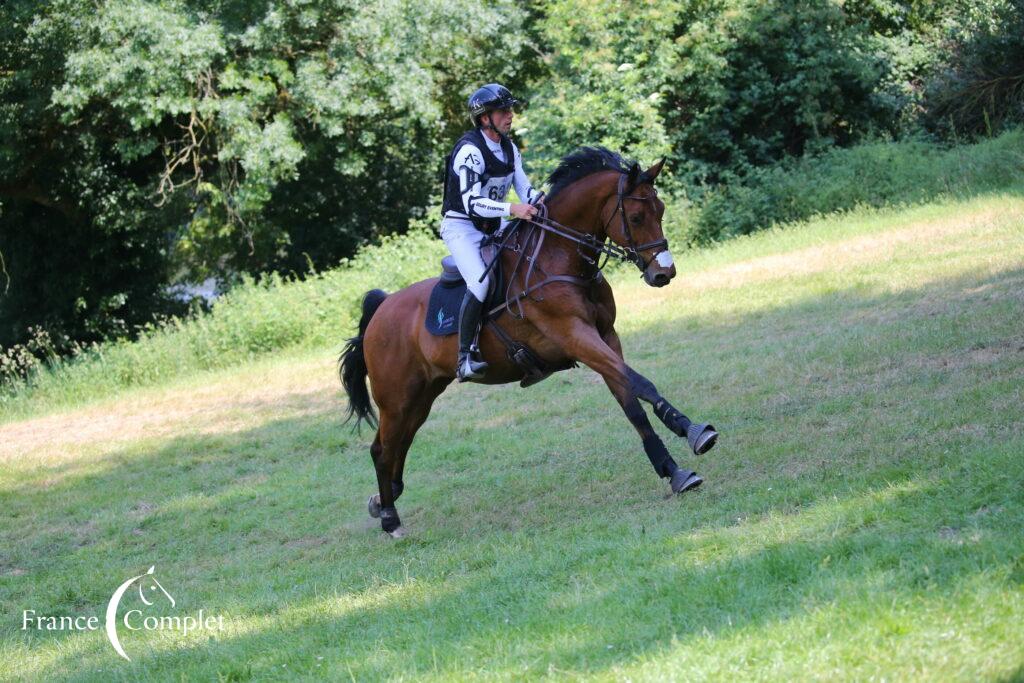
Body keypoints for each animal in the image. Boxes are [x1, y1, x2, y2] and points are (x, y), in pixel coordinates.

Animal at [339, 147, 716, 536]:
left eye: (661, 211)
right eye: (638, 216)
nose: (664, 273)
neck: (560, 257)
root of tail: (381, 309)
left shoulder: (606, 337)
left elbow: (631, 402)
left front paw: (674, 471)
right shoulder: (576, 336)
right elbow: (641, 383)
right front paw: (693, 431)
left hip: (422, 396)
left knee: (399, 444)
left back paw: (383, 500)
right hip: (397, 399)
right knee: (382, 449)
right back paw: (390, 518)